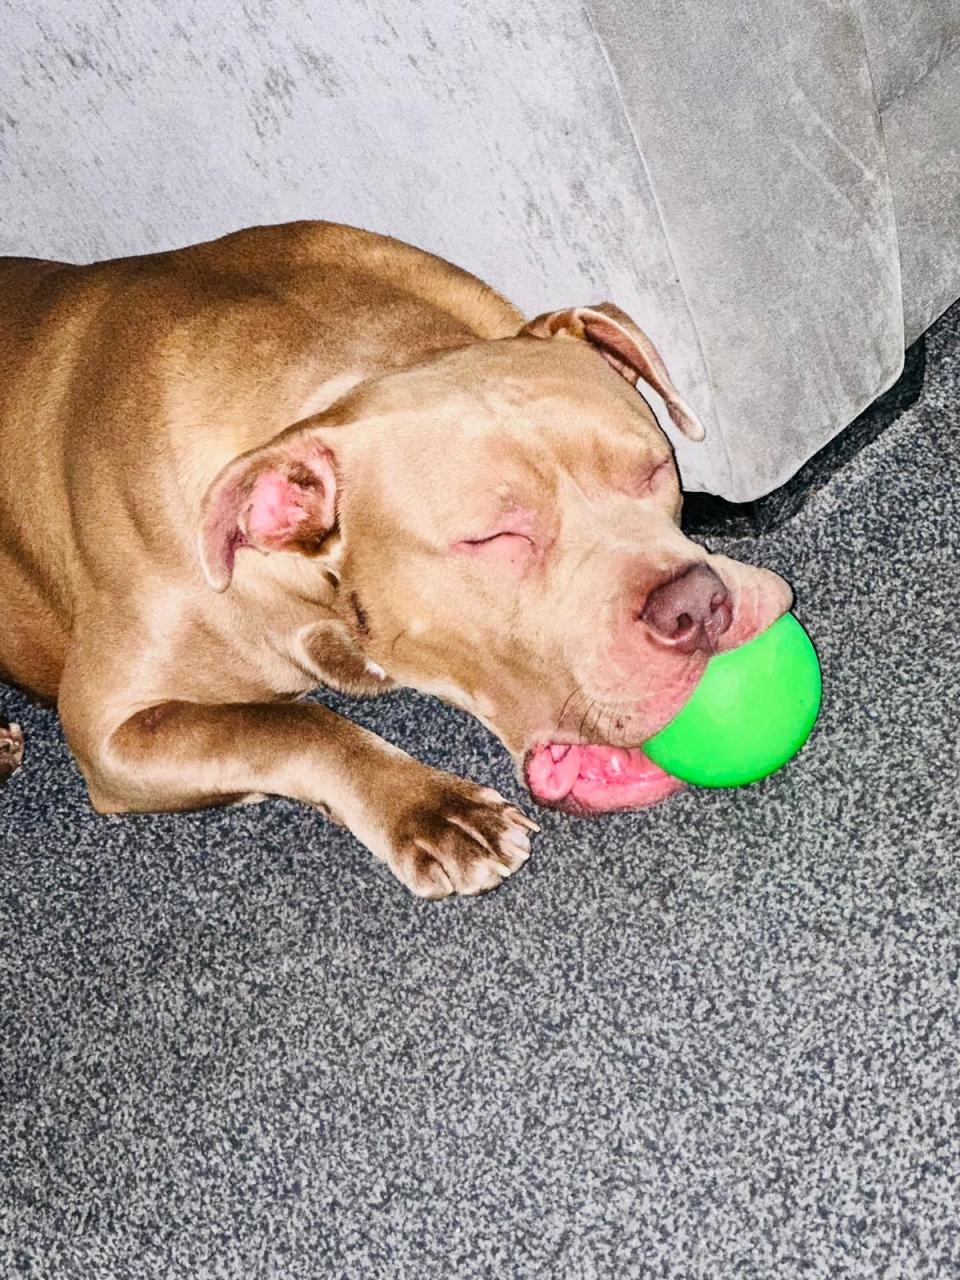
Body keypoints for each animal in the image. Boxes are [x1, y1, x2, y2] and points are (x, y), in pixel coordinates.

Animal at [0, 222, 793, 901]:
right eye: (493, 539)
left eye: (655, 468)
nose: (696, 604)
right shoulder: (106, 728)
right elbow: (284, 725)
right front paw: (429, 808)